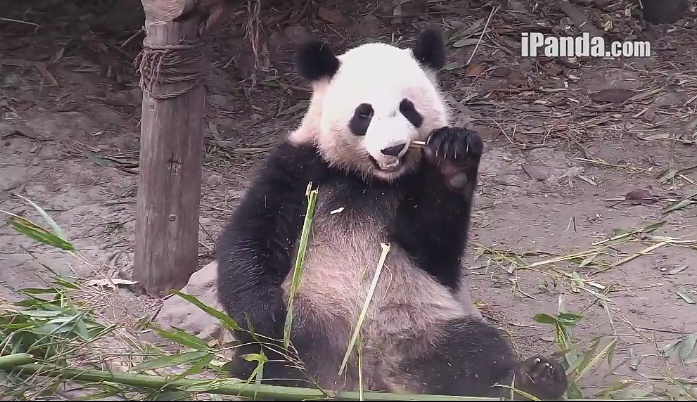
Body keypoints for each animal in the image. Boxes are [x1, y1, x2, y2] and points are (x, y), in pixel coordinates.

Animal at [215, 27, 569, 399]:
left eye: (408, 109)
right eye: (364, 114)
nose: (393, 148)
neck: (371, 180)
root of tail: (365, 377)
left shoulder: (413, 192)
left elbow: (436, 249)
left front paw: (454, 159)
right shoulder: (302, 166)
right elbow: (252, 237)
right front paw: (265, 316)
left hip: (427, 325)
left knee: (475, 352)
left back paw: (534, 378)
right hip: (315, 320)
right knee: (268, 357)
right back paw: (264, 372)